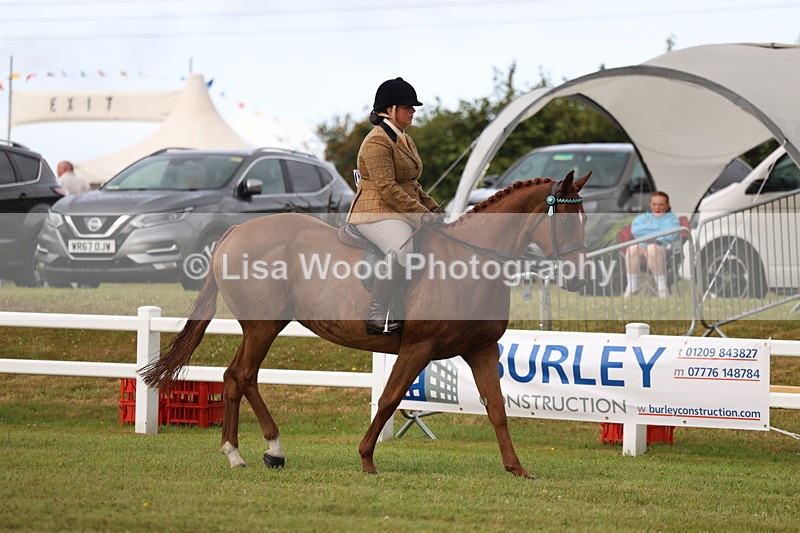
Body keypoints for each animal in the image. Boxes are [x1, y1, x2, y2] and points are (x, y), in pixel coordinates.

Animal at [142, 170, 591, 478]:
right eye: (568, 221)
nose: (579, 279)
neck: (473, 262)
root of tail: (234, 230)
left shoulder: (480, 349)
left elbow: (497, 408)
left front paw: (517, 469)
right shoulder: (418, 348)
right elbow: (389, 398)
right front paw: (367, 459)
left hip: (261, 327)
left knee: (235, 377)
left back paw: (246, 451)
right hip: (262, 326)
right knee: (242, 375)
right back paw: (260, 450)